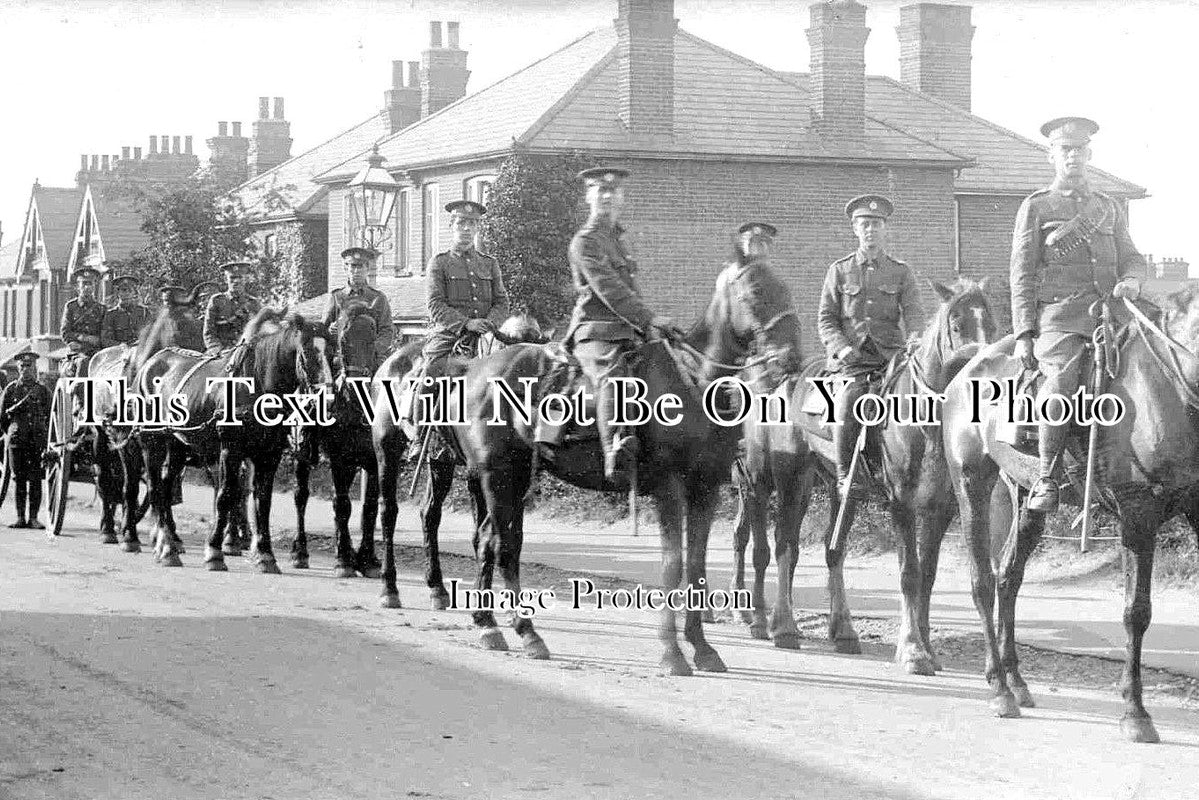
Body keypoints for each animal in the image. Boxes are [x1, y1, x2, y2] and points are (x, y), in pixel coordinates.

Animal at [137, 309, 330, 573]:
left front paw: (265, 555)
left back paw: (169, 543)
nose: (328, 396)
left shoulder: (269, 455)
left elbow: (263, 501)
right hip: (151, 440)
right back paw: (163, 545)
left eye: (334, 350)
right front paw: (215, 551)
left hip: (178, 444)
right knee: (155, 487)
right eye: (308, 351)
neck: (257, 384)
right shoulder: (231, 450)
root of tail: (153, 360)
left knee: (166, 487)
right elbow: (226, 495)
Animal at [290, 303, 378, 578]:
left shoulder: (373, 463)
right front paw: (344, 560)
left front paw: (368, 560)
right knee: (302, 497)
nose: (358, 382)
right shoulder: (340, 460)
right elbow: (343, 506)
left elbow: (369, 508)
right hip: (302, 458)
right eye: (343, 339)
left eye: (372, 337)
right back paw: (300, 552)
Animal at [443, 261, 805, 671]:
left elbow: (696, 564)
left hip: (514, 478)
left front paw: (703, 648)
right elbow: (672, 564)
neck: (693, 383)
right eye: (755, 292)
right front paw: (672, 653)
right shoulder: (669, 488)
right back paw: (523, 633)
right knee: (501, 545)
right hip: (497, 475)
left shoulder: (705, 489)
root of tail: (473, 369)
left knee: (492, 541)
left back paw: (490, 624)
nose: (792, 357)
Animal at [728, 280, 992, 671]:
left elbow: (927, 576)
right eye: (957, 324)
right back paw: (775, 624)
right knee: (776, 544)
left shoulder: (939, 509)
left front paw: (927, 647)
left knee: (830, 550)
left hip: (832, 489)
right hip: (776, 479)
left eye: (993, 321)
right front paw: (912, 650)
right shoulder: (901, 503)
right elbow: (909, 573)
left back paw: (843, 632)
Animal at [940, 289, 1199, 743]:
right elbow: (1136, 612)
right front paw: (1135, 712)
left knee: (1008, 578)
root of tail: (970, 365)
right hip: (970, 484)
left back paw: (1016, 681)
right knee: (982, 582)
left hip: (1025, 499)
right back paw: (998, 688)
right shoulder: (1138, 512)